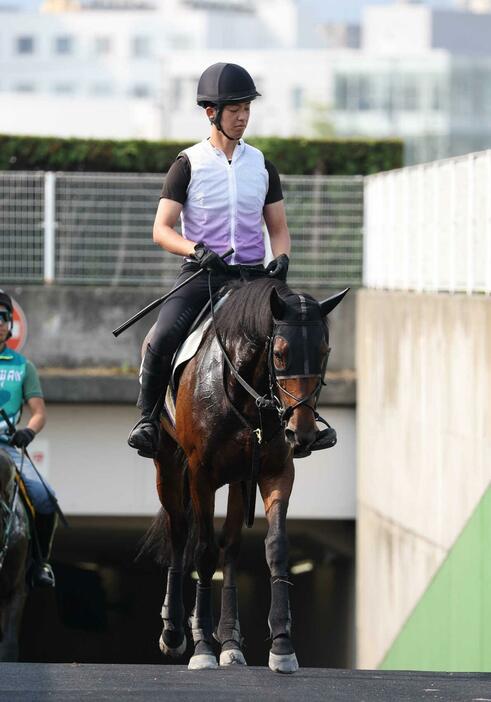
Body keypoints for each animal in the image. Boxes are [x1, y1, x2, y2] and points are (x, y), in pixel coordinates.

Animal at [141, 276, 350, 676]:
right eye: (280, 353)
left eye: (325, 351)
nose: (302, 434)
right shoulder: (200, 475)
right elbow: (203, 552)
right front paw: (202, 648)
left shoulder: (276, 472)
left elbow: (275, 547)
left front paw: (282, 645)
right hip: (169, 467)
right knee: (180, 535)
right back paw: (175, 631)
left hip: (240, 481)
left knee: (232, 548)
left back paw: (231, 643)